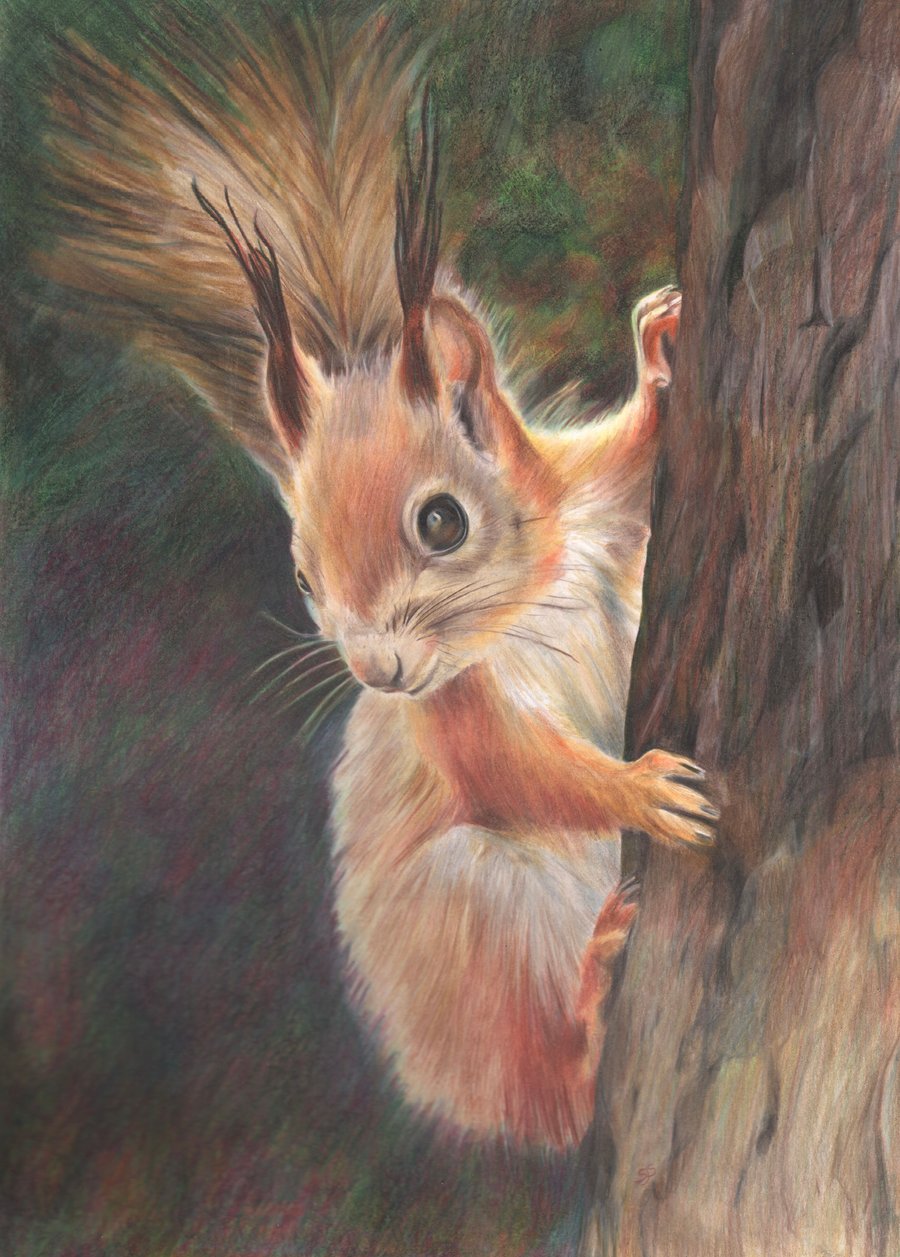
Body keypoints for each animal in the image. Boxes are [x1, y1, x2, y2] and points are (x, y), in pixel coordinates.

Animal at [42, 14, 717, 1150]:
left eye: (441, 522)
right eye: (302, 573)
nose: (379, 672)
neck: (528, 592)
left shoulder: (593, 507)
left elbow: (630, 461)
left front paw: (665, 354)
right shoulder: (457, 716)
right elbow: (519, 773)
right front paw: (641, 788)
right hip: (476, 916)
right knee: (557, 1079)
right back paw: (588, 1007)